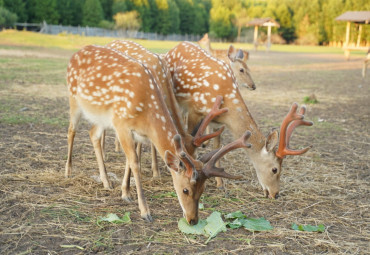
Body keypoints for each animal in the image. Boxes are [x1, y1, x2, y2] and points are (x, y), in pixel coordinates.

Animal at [66, 45, 251, 223]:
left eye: (203, 189)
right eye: (185, 190)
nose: (193, 220)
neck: (146, 111)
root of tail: (75, 54)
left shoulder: (136, 133)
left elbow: (130, 160)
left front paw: (125, 192)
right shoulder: (121, 124)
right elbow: (135, 162)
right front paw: (145, 211)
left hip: (99, 116)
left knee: (93, 134)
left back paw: (106, 181)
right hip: (74, 98)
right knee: (71, 130)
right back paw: (68, 172)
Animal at [165, 41, 312, 198]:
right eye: (275, 169)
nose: (275, 194)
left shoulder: (216, 122)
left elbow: (217, 149)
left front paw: (220, 184)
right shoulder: (195, 111)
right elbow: (189, 143)